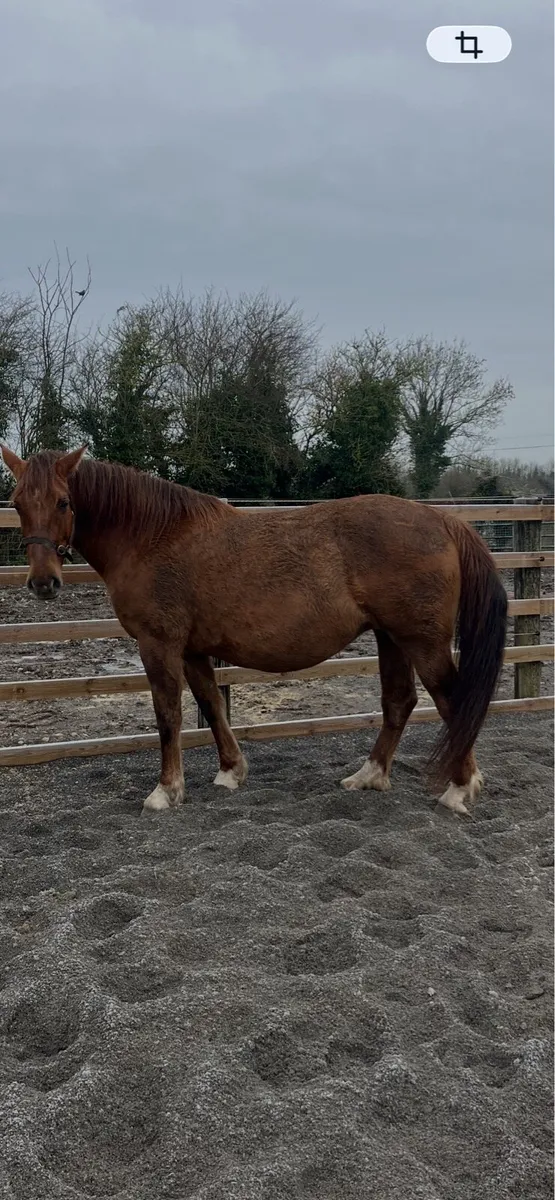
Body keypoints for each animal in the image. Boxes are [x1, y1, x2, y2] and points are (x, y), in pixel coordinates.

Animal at [1, 445, 508, 817]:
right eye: (18, 504)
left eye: (64, 502)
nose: (43, 583)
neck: (151, 536)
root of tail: (442, 520)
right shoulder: (193, 650)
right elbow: (211, 705)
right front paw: (231, 771)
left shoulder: (158, 644)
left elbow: (169, 715)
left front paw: (166, 790)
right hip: (391, 638)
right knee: (399, 702)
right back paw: (370, 776)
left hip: (423, 642)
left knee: (453, 701)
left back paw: (460, 789)